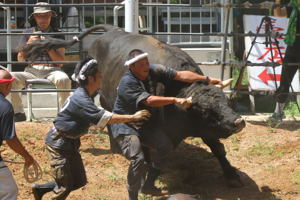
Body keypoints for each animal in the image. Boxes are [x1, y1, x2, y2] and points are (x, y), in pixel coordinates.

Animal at [24, 24, 246, 187]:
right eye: (206, 110)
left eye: (225, 102)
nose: (238, 122)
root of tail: (112, 31)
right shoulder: (153, 129)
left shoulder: (205, 128)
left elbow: (218, 149)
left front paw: (231, 174)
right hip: (94, 90)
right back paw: (116, 147)